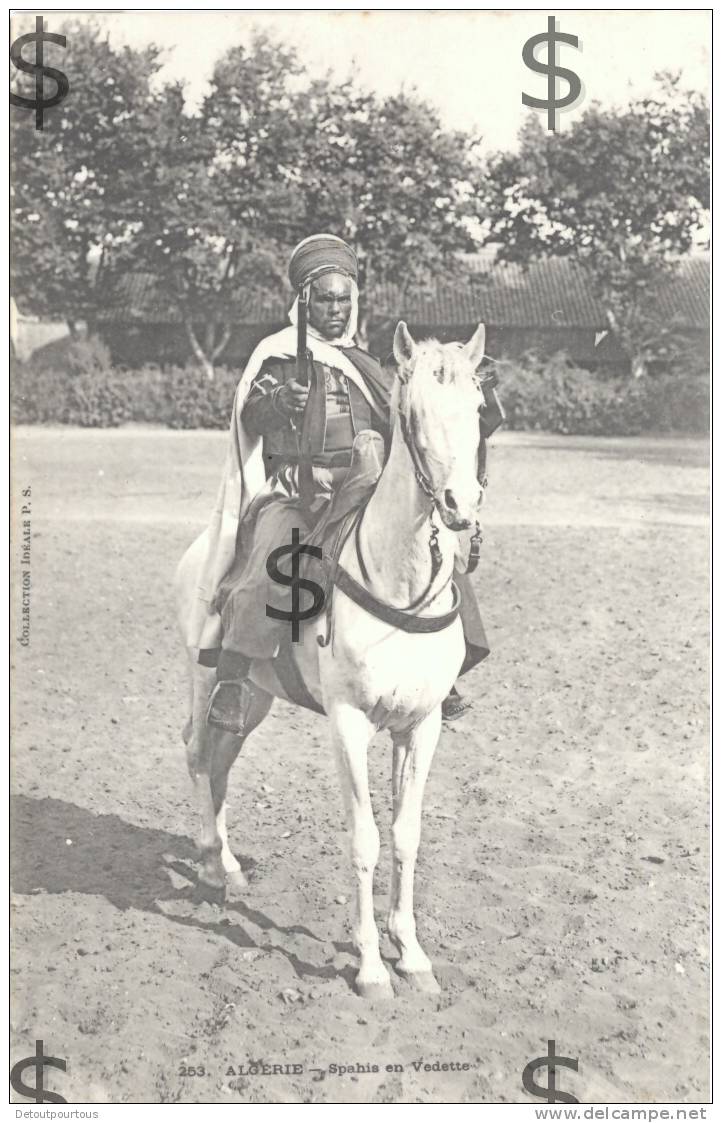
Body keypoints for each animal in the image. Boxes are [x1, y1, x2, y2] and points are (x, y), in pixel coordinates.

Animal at [177, 321, 489, 997]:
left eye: (479, 408)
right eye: (413, 413)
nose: (459, 505)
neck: (398, 577)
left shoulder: (420, 726)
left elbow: (405, 835)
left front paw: (412, 953)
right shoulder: (349, 723)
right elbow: (365, 839)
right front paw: (370, 964)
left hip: (253, 698)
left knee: (222, 757)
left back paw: (228, 865)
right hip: (203, 674)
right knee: (197, 753)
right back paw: (213, 863)